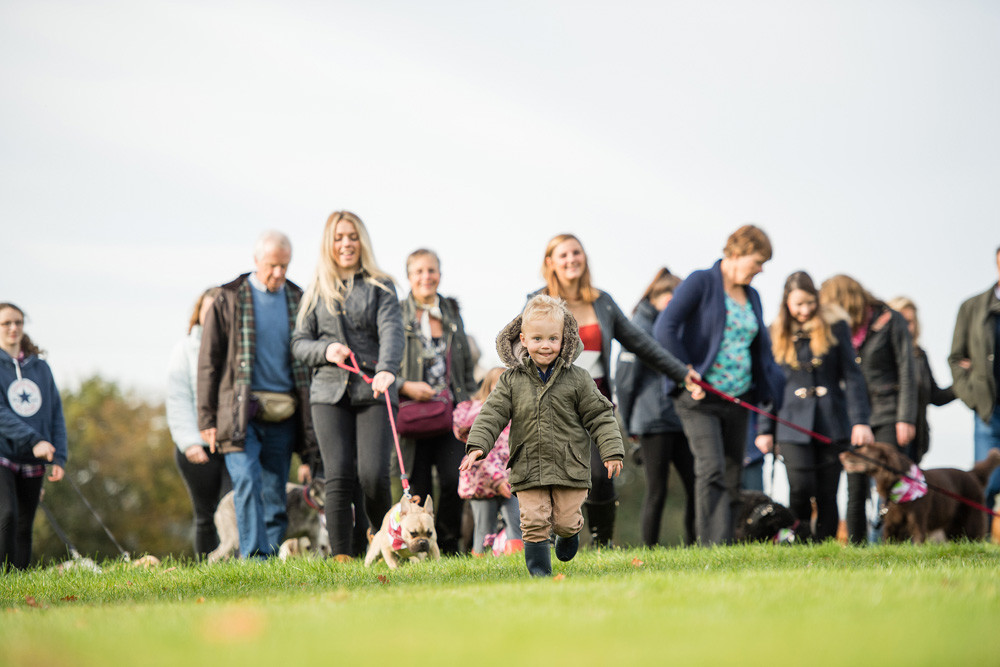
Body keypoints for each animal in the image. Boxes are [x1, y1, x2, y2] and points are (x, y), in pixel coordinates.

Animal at [836, 444, 1000, 544]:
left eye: (865, 450)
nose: (842, 454)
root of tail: (972, 474)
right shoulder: (891, 526)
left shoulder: (918, 524)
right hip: (953, 528)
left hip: (972, 523)